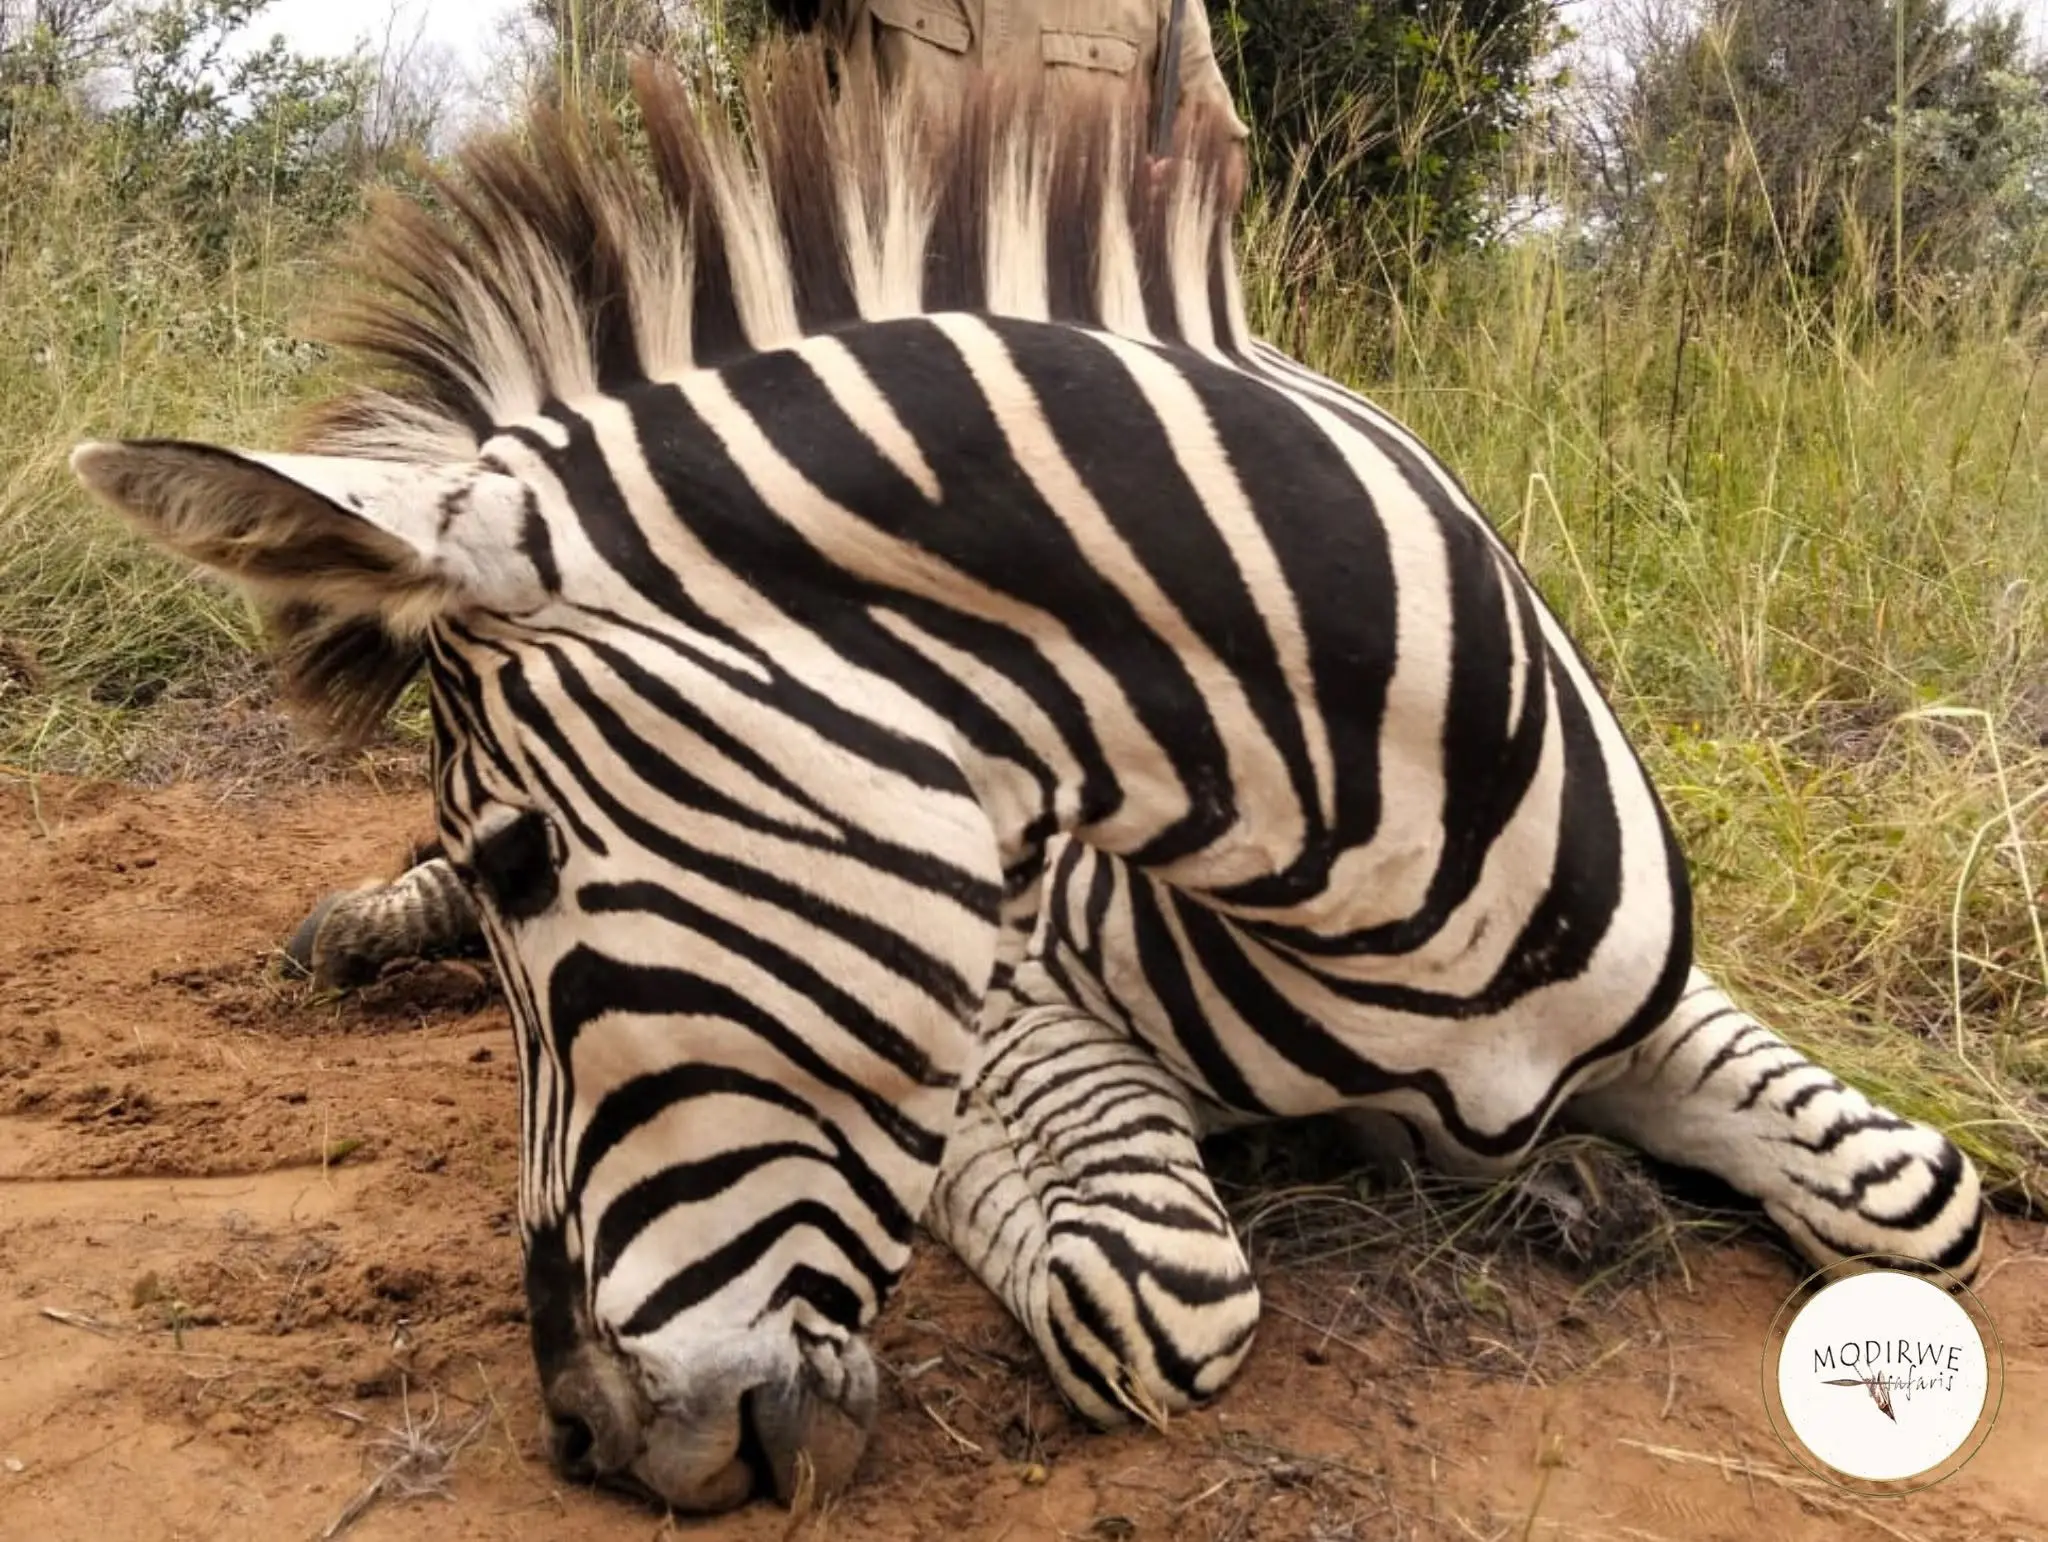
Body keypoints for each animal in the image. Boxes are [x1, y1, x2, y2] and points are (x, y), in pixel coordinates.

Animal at [69, 40, 1986, 1515]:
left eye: (536, 856)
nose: (584, 1437)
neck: (1390, 907)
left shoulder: (1649, 1000)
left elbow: (1921, 1198)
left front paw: (1562, 1173)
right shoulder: (1003, 980)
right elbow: (1146, 1283)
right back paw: (362, 925)